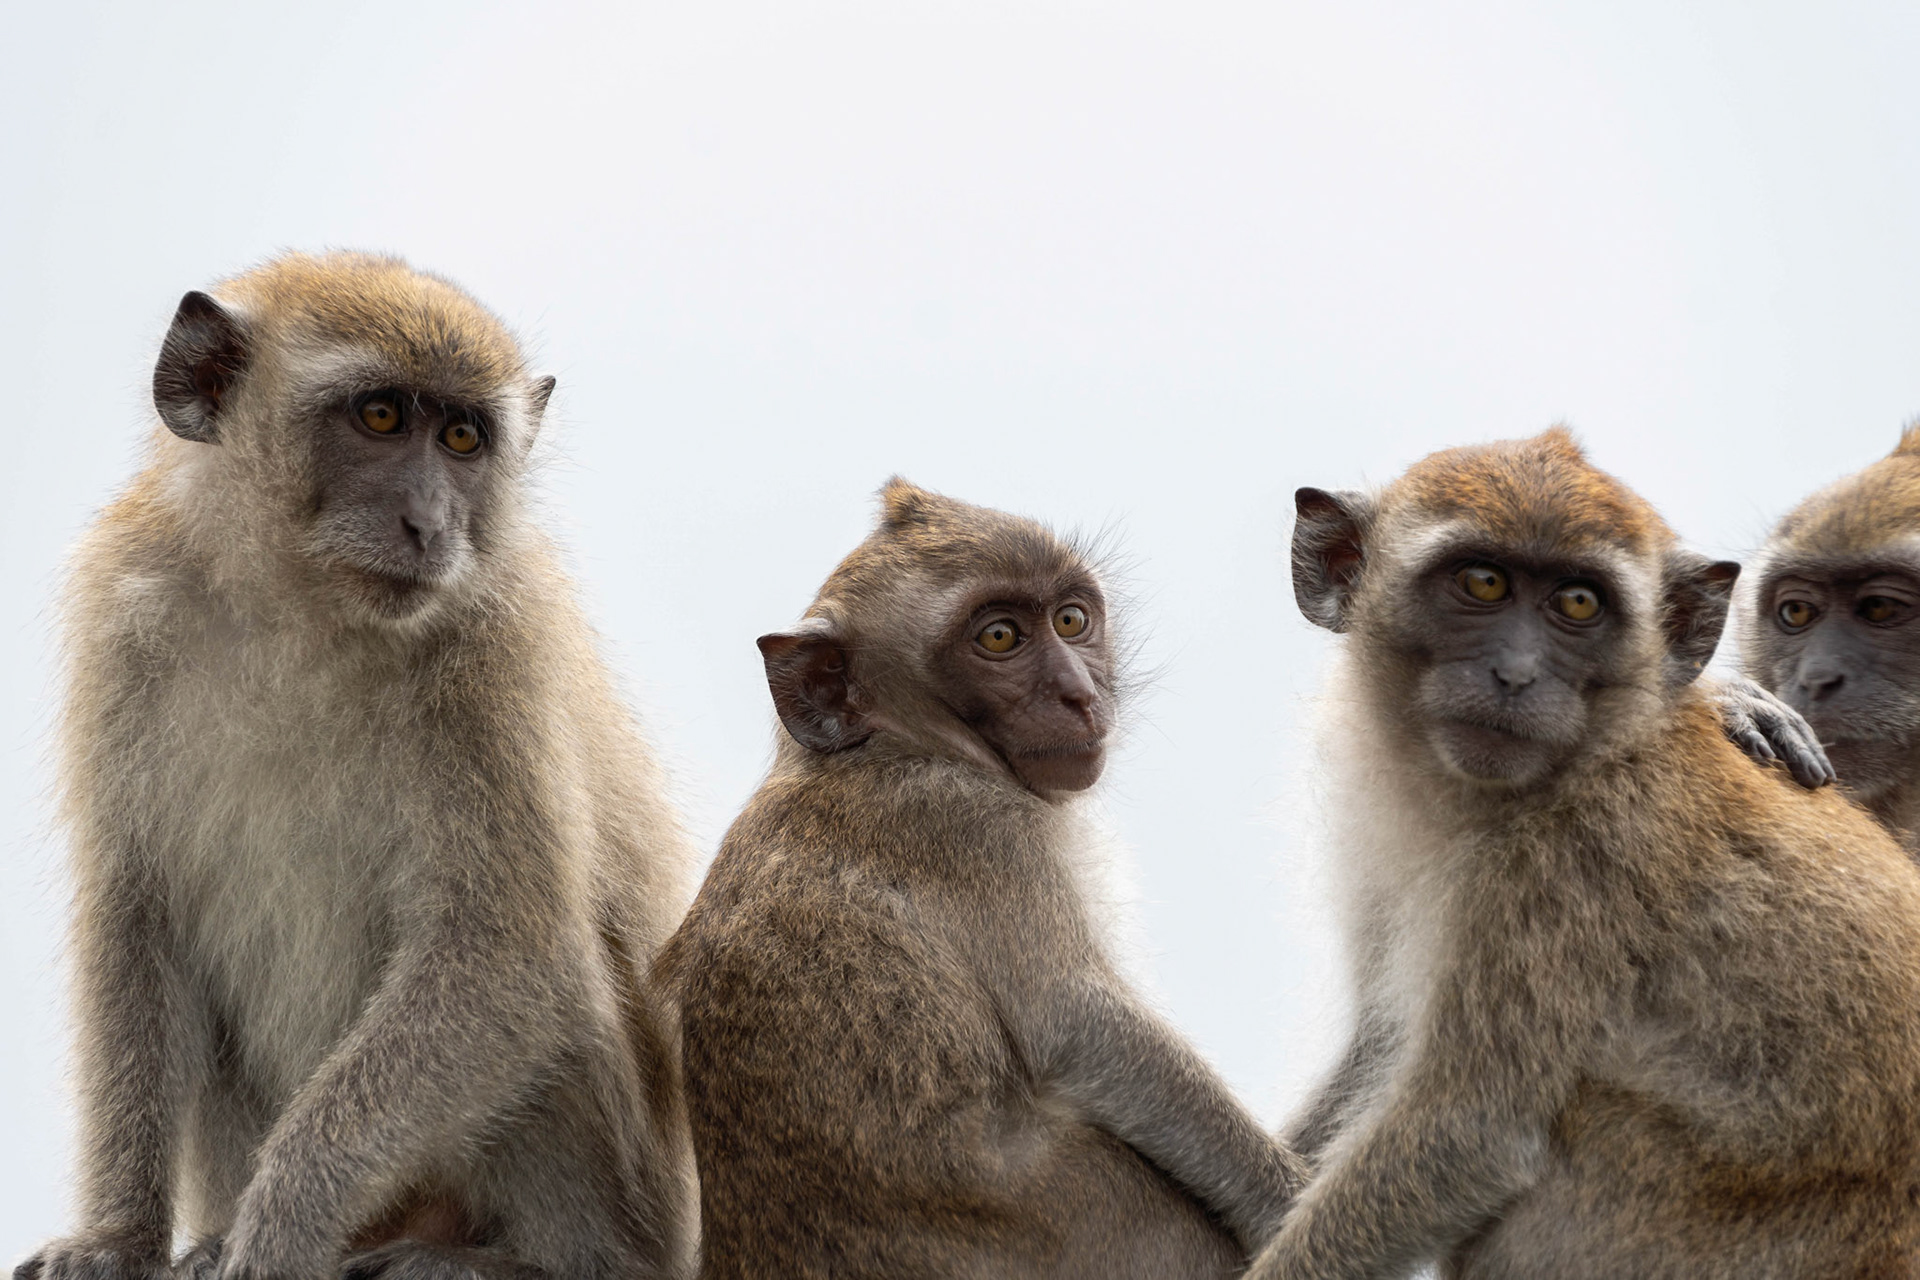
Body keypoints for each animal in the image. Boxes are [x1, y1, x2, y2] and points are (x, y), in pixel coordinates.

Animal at [16, 252, 698, 1280]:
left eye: (461, 437)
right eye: (380, 417)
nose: (429, 522)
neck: (300, 612)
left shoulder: (496, 647)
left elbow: (506, 950)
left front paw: (282, 1225)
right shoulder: (125, 610)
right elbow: (139, 911)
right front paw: (116, 1239)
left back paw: (512, 1261)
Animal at [657, 479, 1306, 1280]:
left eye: (1071, 620)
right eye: (999, 638)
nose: (1079, 694)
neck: (894, 745)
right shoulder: (975, 827)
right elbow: (1085, 1027)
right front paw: (1286, 1202)